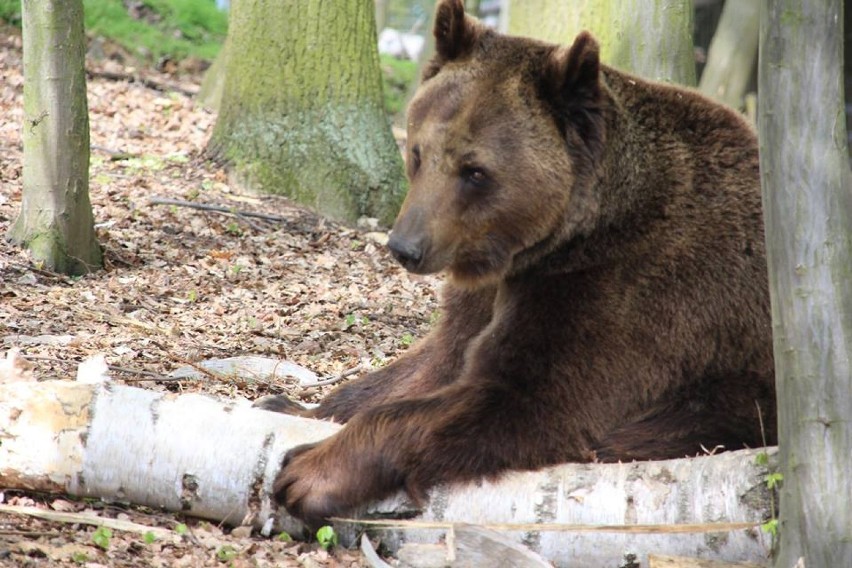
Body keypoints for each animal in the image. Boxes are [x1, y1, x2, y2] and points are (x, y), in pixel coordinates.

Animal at [262, 0, 776, 524]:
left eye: (475, 171)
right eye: (418, 152)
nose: (406, 247)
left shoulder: (627, 290)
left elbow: (530, 398)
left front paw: (309, 471)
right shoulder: (488, 289)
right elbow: (434, 361)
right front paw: (291, 406)